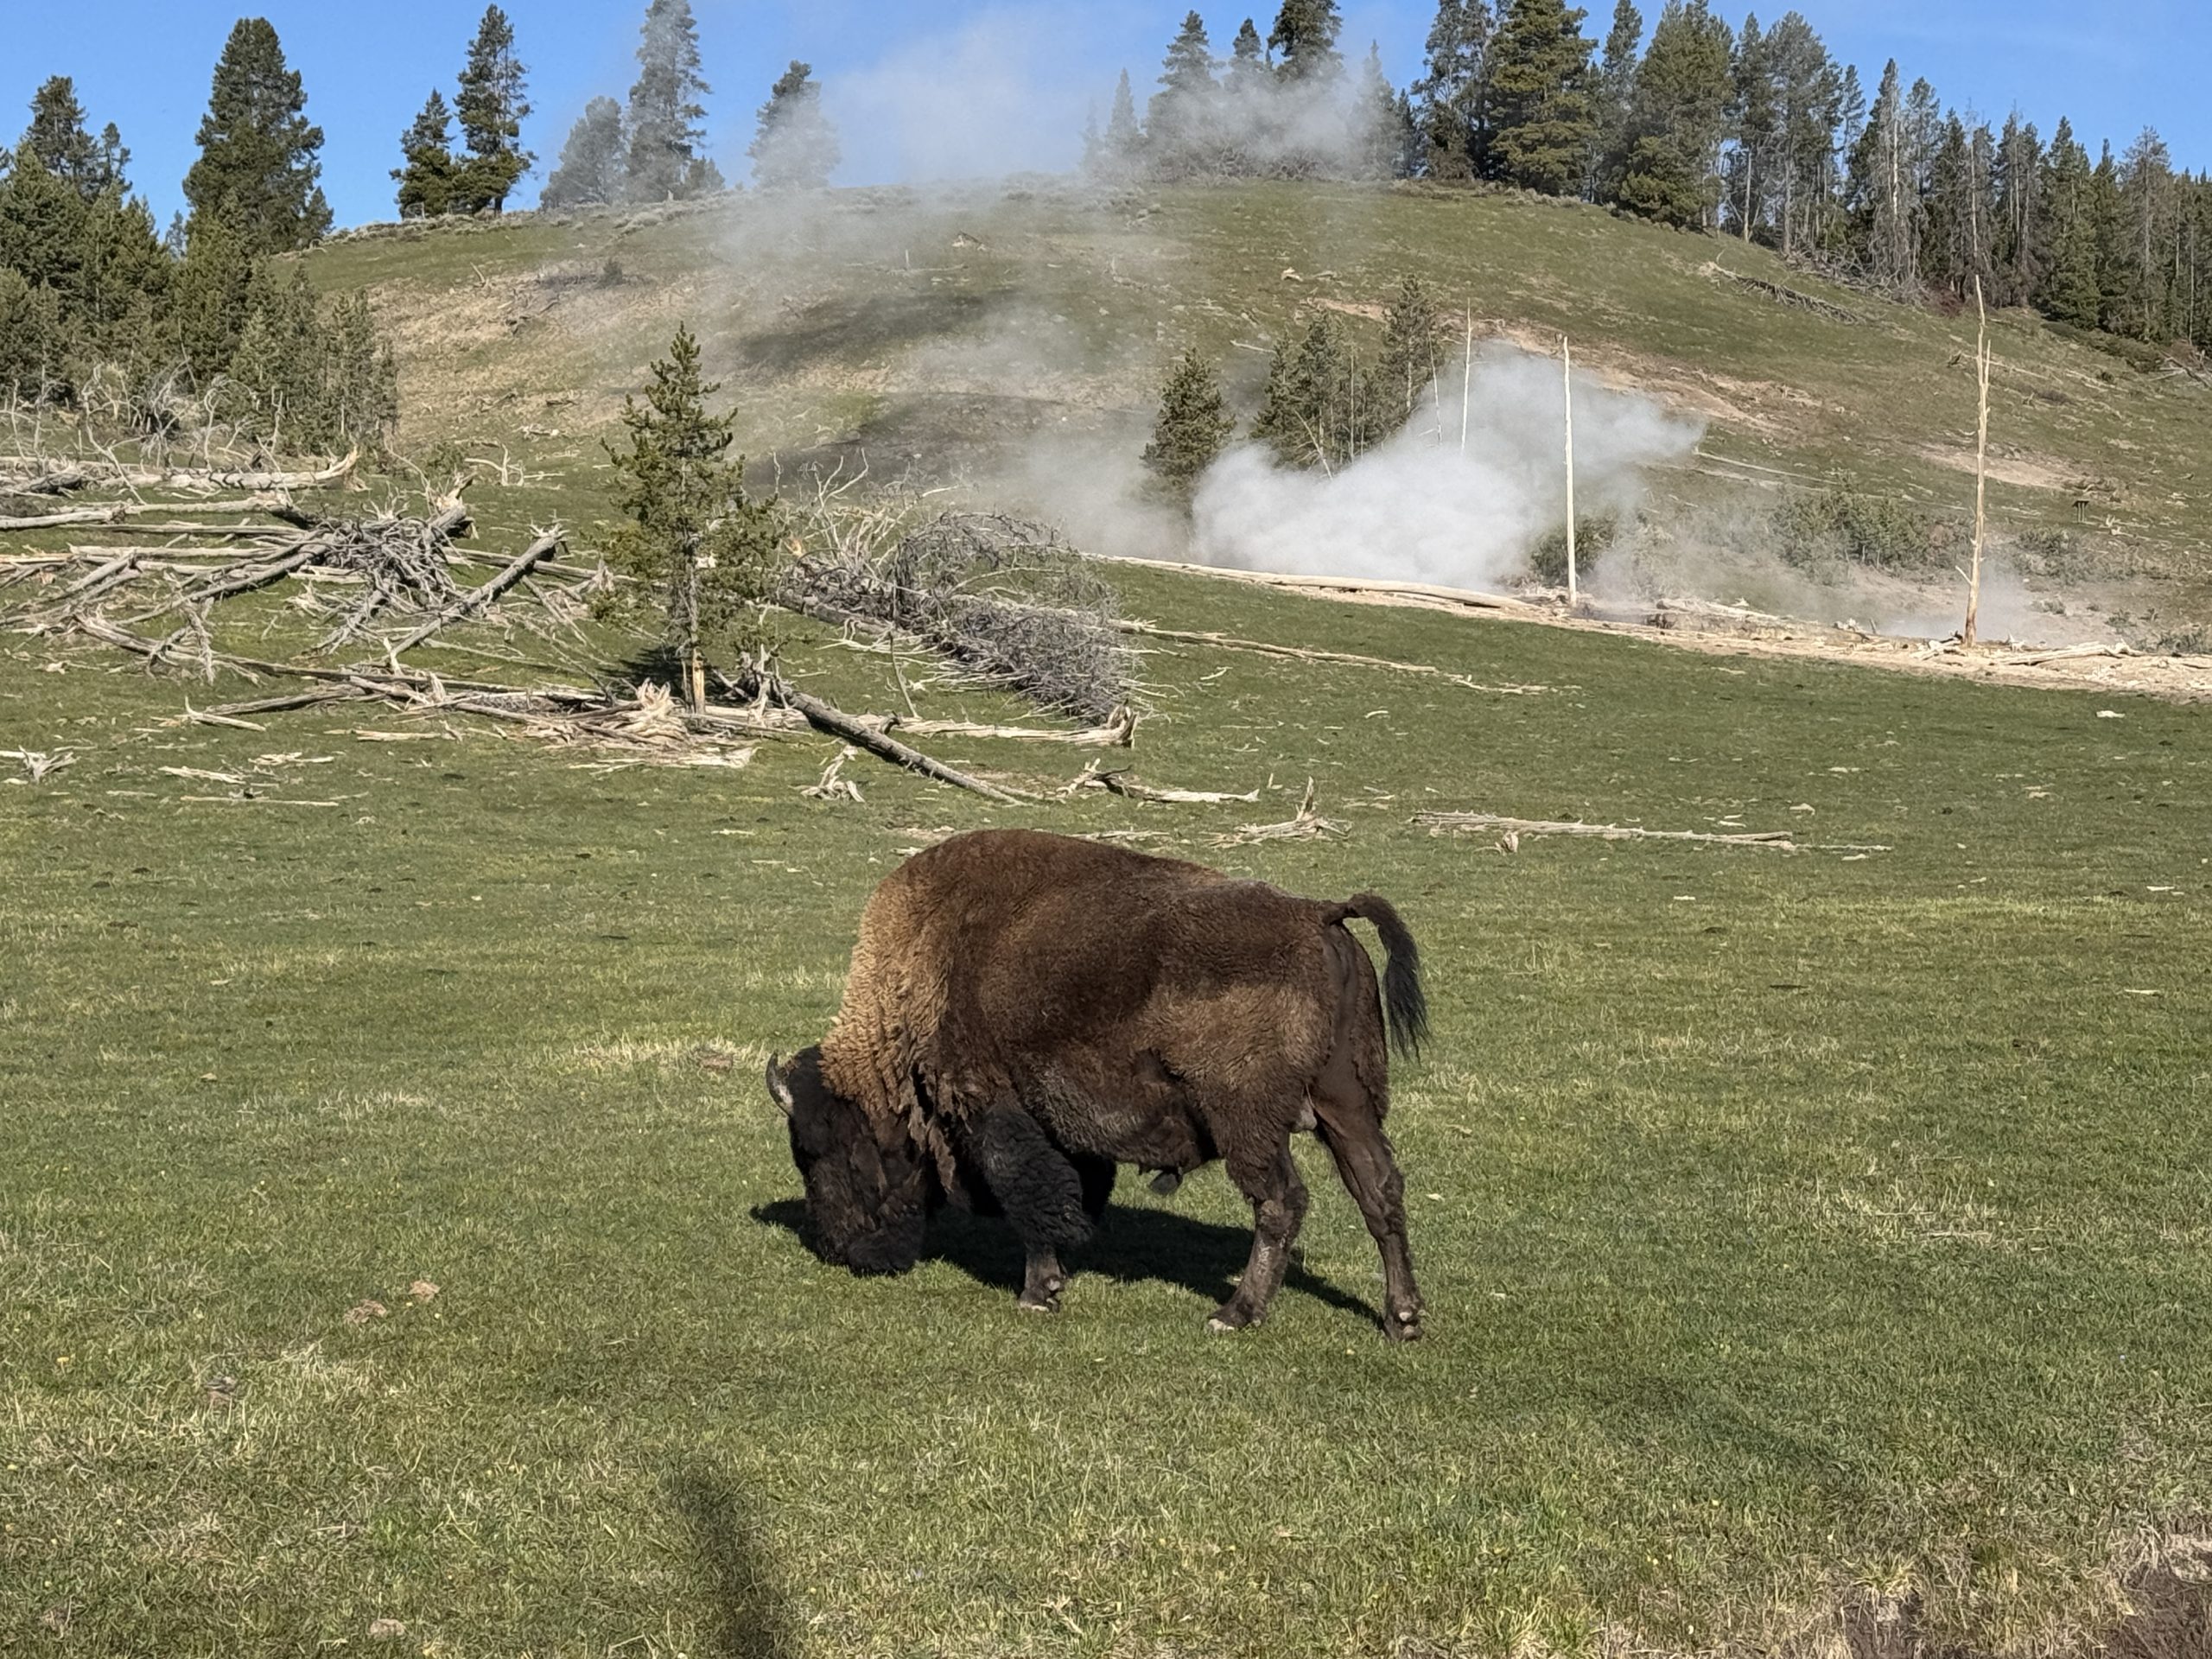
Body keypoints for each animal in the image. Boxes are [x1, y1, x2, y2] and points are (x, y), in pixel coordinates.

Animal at [766, 828, 1429, 1338]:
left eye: (825, 1153)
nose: (842, 1252)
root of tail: (1319, 915)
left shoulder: (990, 1106)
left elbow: (1030, 1195)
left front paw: (1039, 1293)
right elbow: (1073, 1190)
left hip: (1248, 1122)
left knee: (1281, 1203)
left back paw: (1234, 1313)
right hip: (1347, 1107)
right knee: (1379, 1192)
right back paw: (1402, 1319)